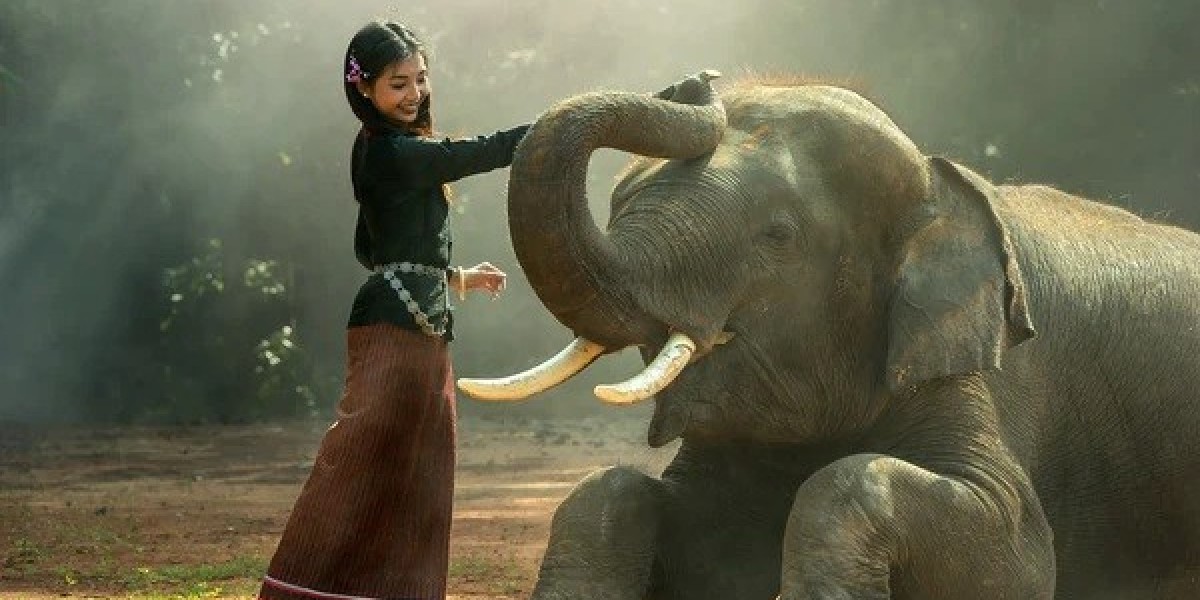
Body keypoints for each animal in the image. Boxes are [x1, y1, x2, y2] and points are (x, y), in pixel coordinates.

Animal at [458, 71, 1200, 599]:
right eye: (617, 204)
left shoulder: (974, 365)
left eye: (778, 235)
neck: (937, 180)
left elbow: (1018, 553)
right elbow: (629, 504)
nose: (696, 80)